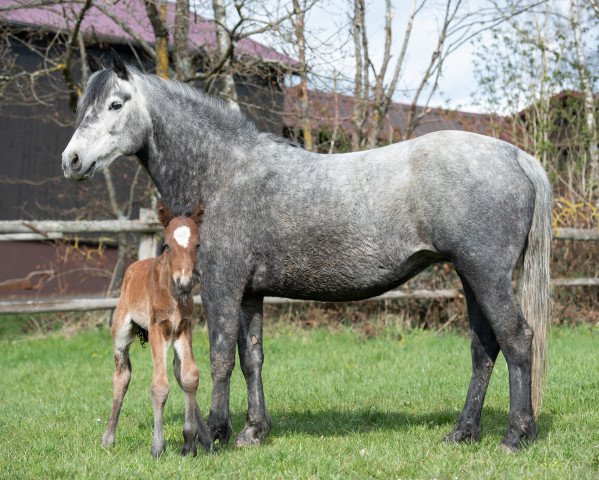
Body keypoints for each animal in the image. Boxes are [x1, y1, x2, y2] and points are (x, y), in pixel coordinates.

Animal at [99, 203, 211, 458]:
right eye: (167, 245)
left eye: (198, 245)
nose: (185, 282)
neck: (173, 294)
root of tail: (135, 264)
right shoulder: (158, 329)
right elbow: (159, 385)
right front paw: (158, 447)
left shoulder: (183, 328)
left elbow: (190, 376)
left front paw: (189, 443)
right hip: (122, 331)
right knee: (121, 375)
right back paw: (108, 439)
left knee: (178, 370)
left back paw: (206, 436)